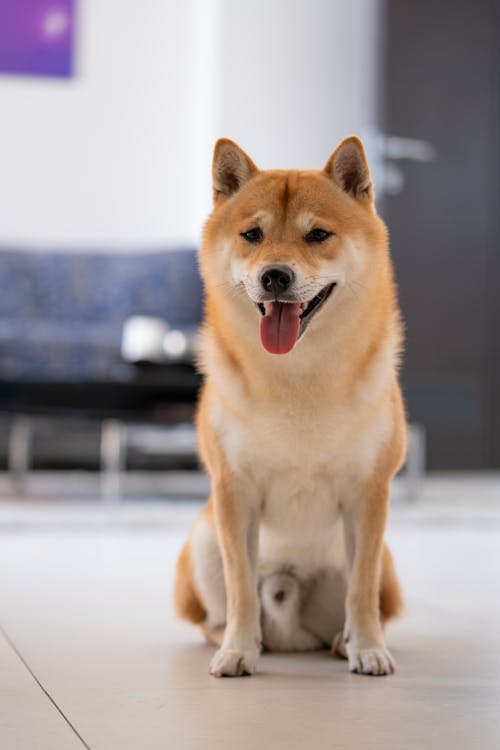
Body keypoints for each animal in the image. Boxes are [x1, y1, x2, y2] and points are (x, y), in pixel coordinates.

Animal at [174, 137, 404, 680]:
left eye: (317, 234)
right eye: (252, 235)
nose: (275, 276)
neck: (297, 375)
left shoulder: (368, 494)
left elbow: (362, 591)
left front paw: (368, 649)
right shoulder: (235, 492)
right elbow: (240, 589)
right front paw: (238, 649)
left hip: (384, 561)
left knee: (362, 602)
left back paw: (341, 642)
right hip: (203, 542)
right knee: (217, 615)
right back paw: (243, 641)